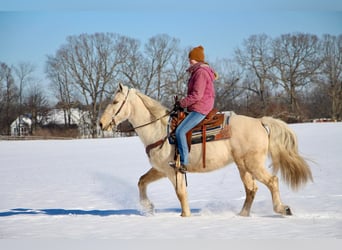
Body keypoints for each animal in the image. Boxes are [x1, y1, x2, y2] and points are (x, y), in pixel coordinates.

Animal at [99, 83, 312, 217]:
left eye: (115, 102)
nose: (101, 123)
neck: (159, 130)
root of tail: (260, 122)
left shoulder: (173, 171)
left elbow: (181, 194)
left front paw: (185, 216)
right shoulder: (161, 169)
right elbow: (142, 181)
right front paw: (148, 207)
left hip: (252, 165)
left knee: (272, 181)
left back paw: (282, 209)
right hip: (243, 166)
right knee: (251, 189)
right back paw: (241, 215)